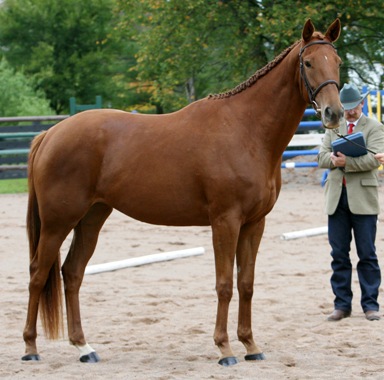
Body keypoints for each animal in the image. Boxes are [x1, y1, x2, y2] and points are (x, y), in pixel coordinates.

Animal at [22, 19, 344, 366]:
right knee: (38, 274)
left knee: (72, 273)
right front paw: (224, 349)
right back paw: (30, 348)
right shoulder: (225, 221)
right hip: (58, 222)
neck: (246, 130)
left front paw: (250, 346)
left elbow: (246, 284)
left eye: (337, 62)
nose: (334, 113)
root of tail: (51, 134)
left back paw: (84, 348)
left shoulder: (254, 224)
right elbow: (224, 285)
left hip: (91, 218)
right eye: (308, 63)